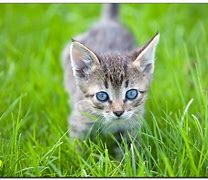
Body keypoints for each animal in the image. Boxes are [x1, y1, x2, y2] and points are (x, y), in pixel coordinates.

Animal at [61, 3, 159, 143]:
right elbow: (77, 145)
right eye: (102, 96)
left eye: (131, 94)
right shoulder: (79, 121)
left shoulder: (132, 126)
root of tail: (109, 22)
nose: (118, 112)